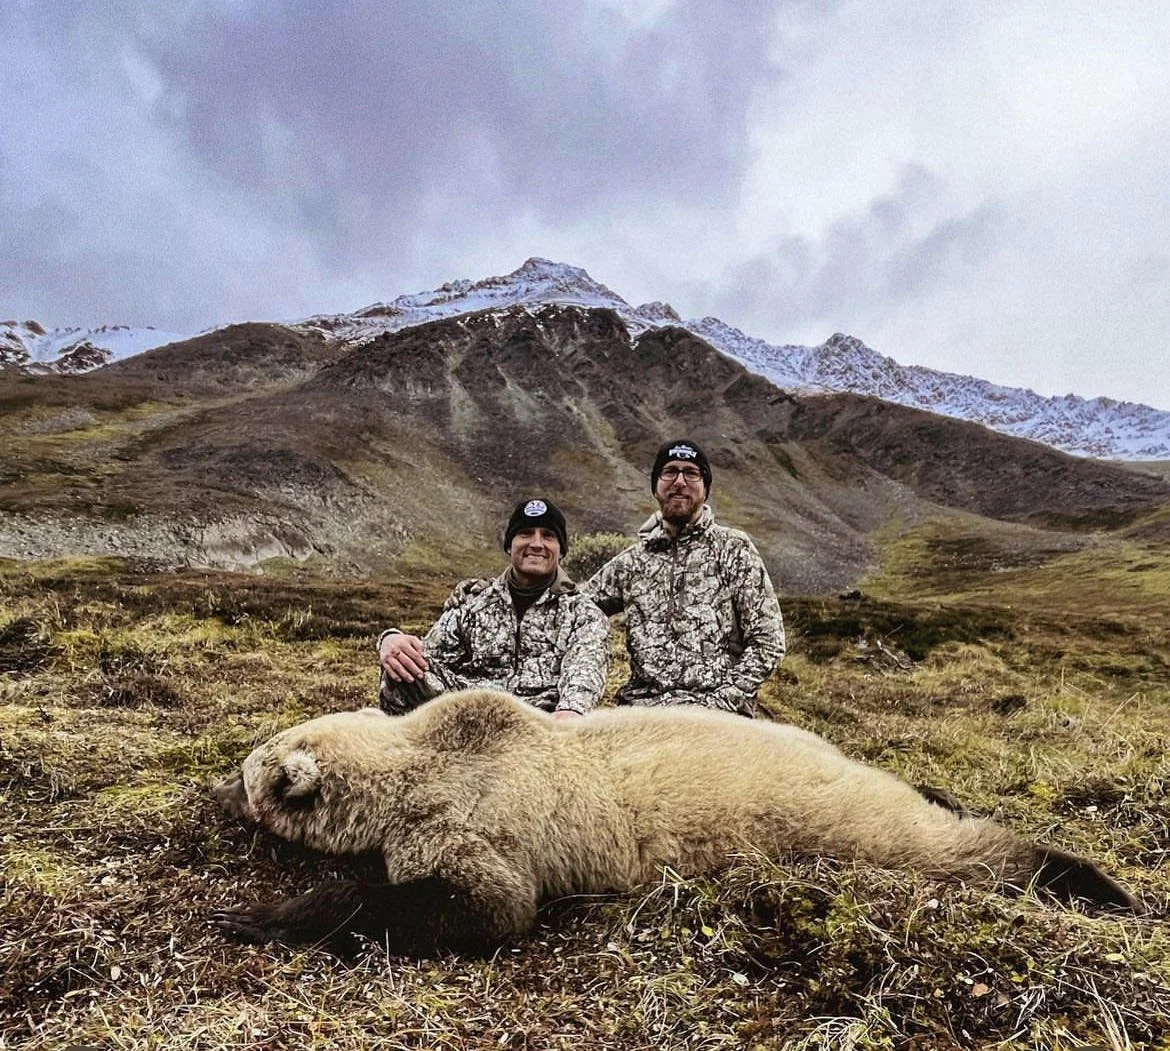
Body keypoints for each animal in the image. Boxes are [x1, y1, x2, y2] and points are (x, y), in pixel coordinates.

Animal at [210, 689, 1138, 953]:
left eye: (251, 767)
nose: (221, 786)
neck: (420, 758)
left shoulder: (474, 819)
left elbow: (485, 905)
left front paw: (264, 913)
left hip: (838, 819)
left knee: (960, 847)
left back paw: (1099, 886)